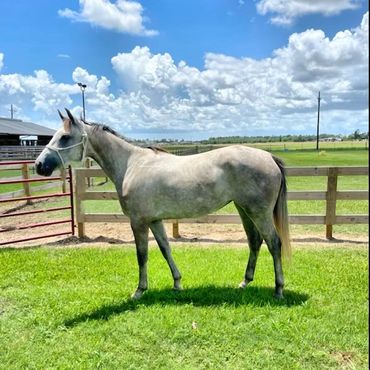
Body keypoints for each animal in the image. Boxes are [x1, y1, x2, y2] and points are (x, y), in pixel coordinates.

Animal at [36, 108, 292, 300]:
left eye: (65, 137)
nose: (39, 165)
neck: (131, 164)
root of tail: (269, 157)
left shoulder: (138, 222)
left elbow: (142, 254)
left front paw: (139, 291)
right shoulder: (155, 220)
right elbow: (165, 248)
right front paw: (177, 283)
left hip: (258, 213)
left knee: (274, 243)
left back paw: (279, 289)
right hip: (244, 210)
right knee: (255, 242)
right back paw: (244, 282)